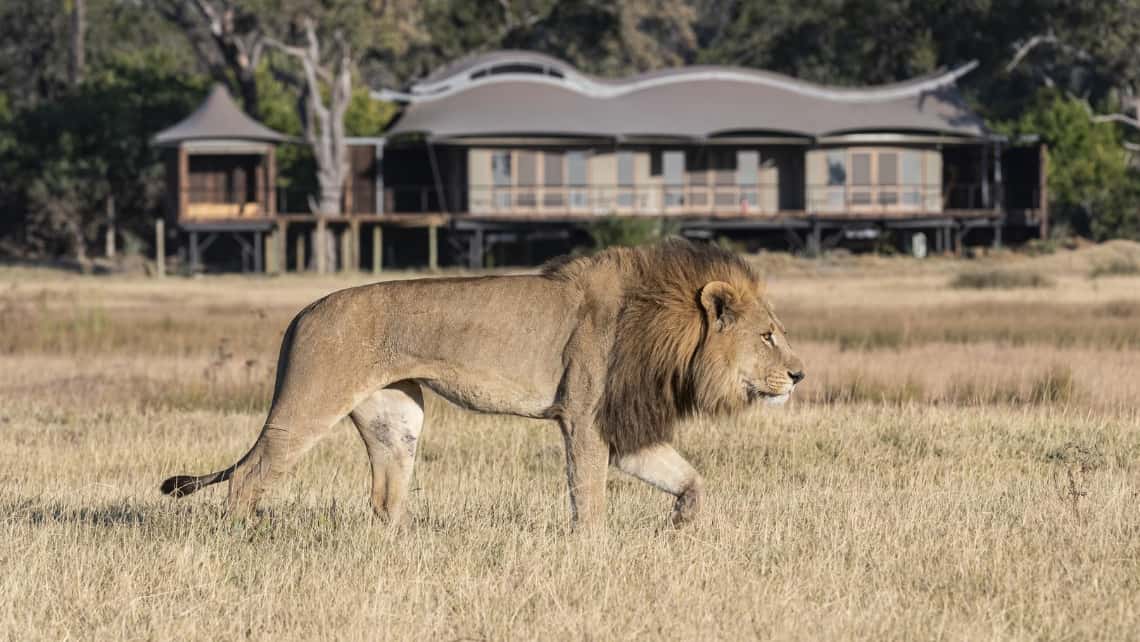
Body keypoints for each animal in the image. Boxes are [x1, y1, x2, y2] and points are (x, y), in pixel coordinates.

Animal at [160, 238, 807, 529]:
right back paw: (245, 539)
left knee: (385, 496)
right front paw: (593, 549)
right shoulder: (585, 418)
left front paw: (681, 527)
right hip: (310, 404)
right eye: (768, 336)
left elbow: (689, 478)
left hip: (398, 418)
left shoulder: (624, 429)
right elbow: (588, 496)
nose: (799, 375)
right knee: (249, 476)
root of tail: (302, 312)